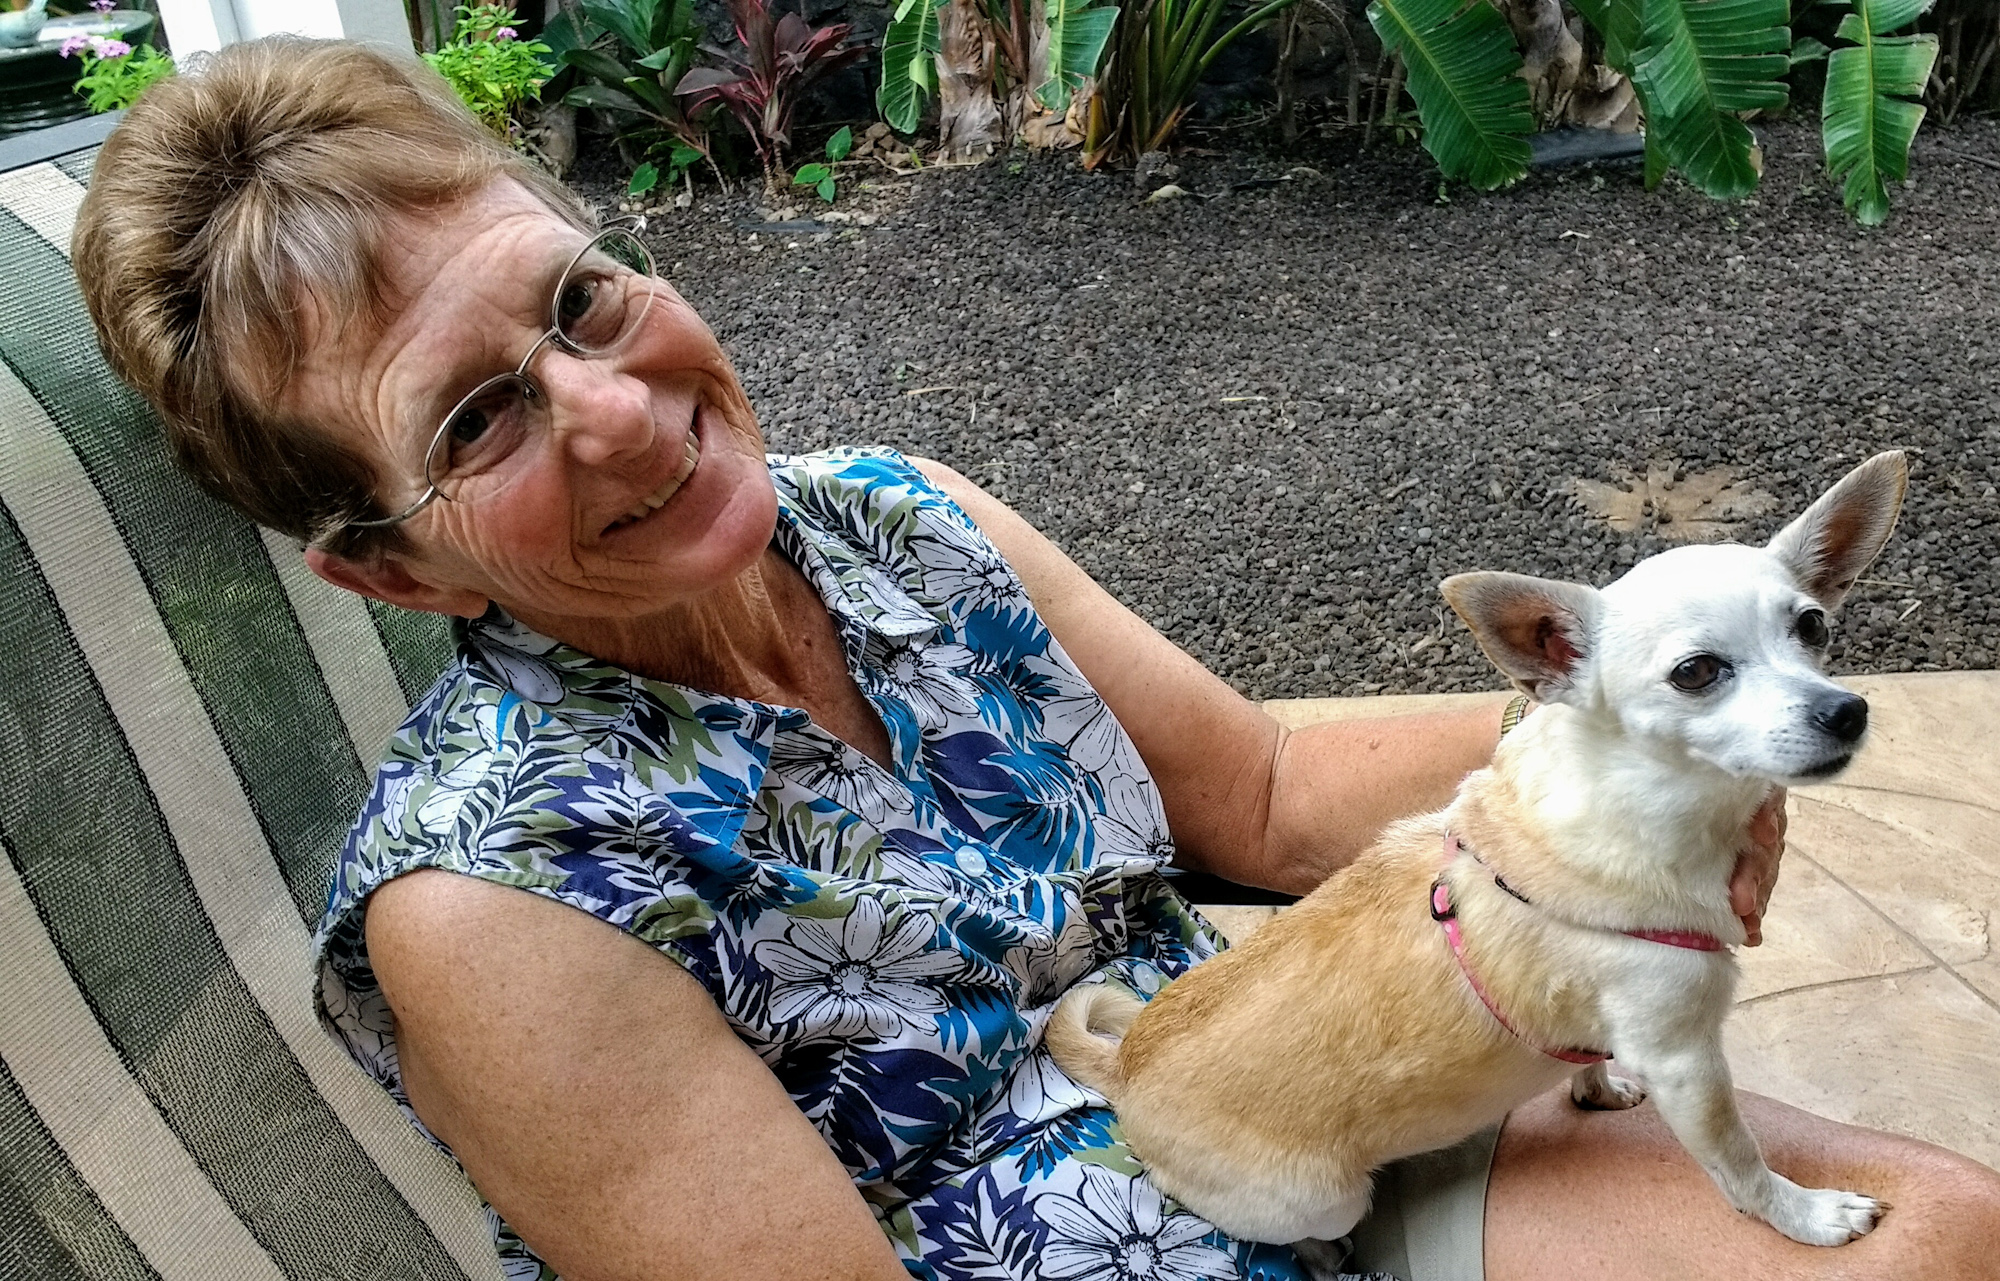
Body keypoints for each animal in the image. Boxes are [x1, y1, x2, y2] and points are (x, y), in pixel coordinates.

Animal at [1048, 450, 1904, 1248]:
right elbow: (1741, 1161)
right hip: (1321, 1198)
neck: (1655, 803)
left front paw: (1595, 1084)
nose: (1847, 711)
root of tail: (1125, 1066)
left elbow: (1590, 1055)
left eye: (1812, 626)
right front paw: (1805, 1214)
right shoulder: (1687, 1063)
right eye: (1696, 672)